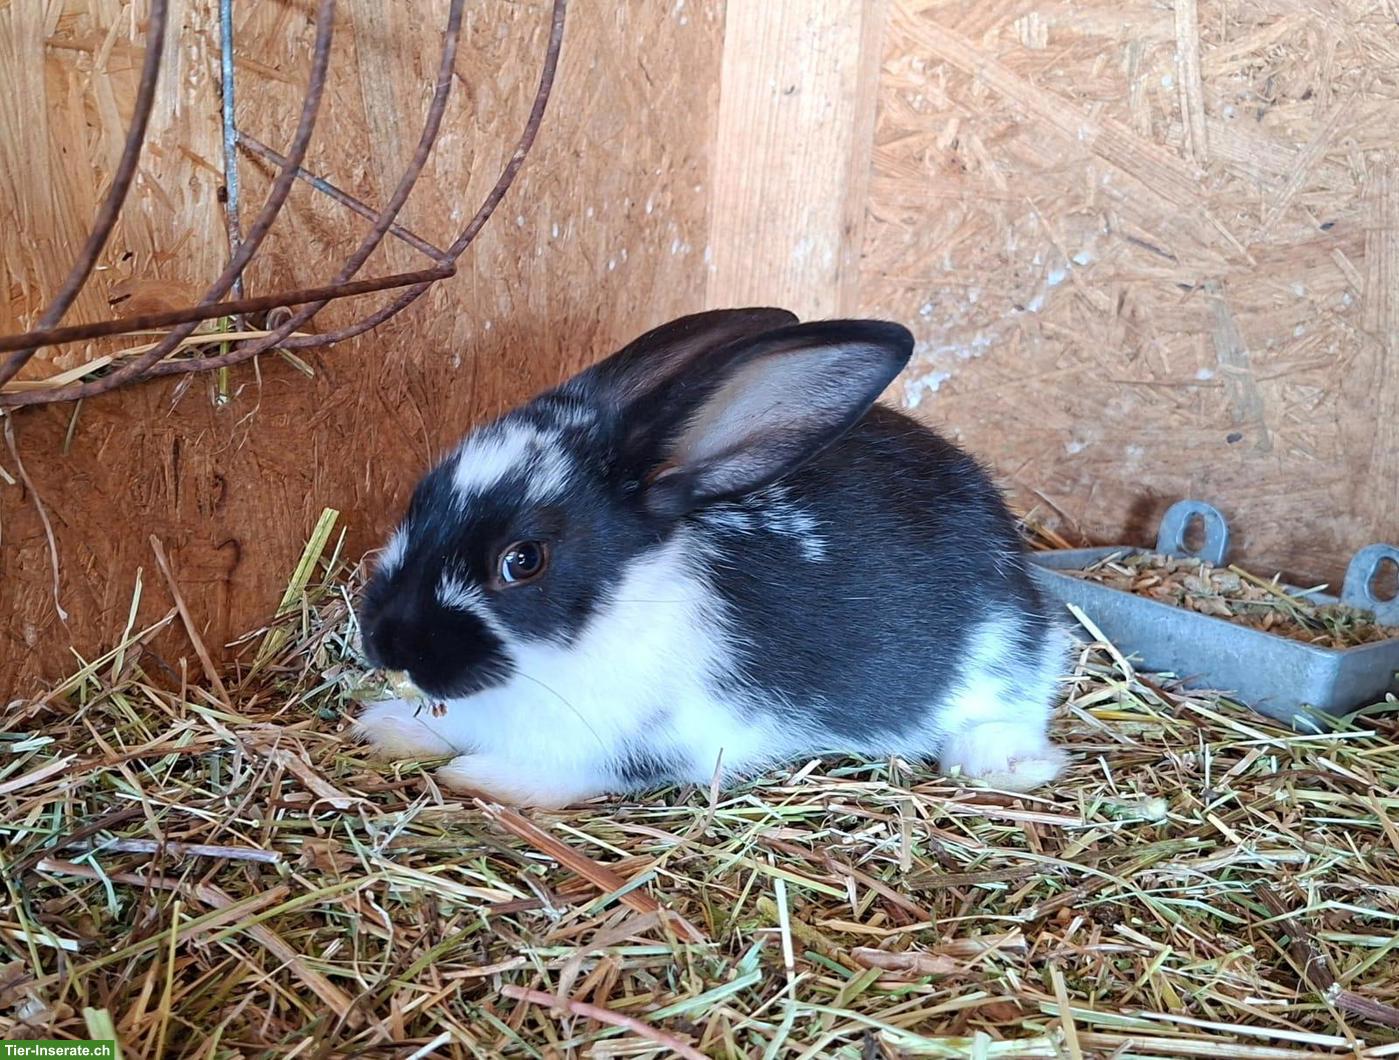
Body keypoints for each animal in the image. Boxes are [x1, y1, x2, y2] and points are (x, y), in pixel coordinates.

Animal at [354, 307, 1070, 807]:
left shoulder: (652, 748)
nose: (389, 642)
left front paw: (479, 777)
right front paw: (385, 727)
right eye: (421, 497)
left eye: (523, 560)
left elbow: (570, 776)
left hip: (998, 669)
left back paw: (1002, 762)